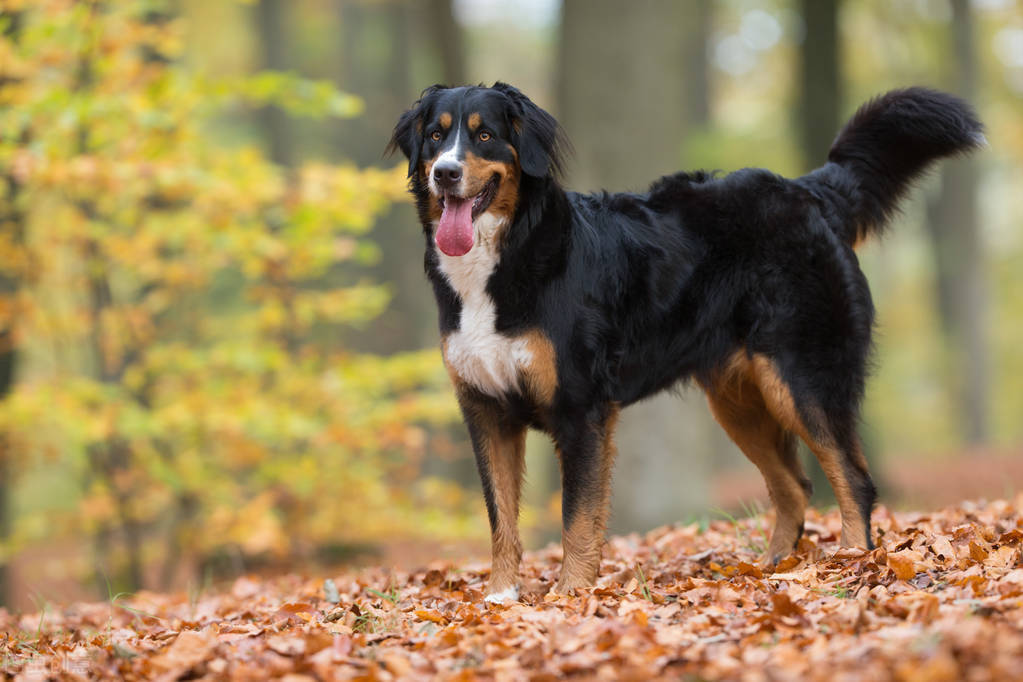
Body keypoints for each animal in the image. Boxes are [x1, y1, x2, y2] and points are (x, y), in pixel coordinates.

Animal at [388, 82, 982, 601]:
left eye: (484, 135)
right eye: (436, 136)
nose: (445, 173)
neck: (507, 253)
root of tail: (808, 190)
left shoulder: (581, 409)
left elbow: (577, 517)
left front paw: (570, 593)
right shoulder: (486, 411)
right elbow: (501, 519)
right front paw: (500, 597)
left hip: (802, 380)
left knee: (853, 480)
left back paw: (853, 563)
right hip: (740, 402)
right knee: (794, 486)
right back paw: (775, 570)